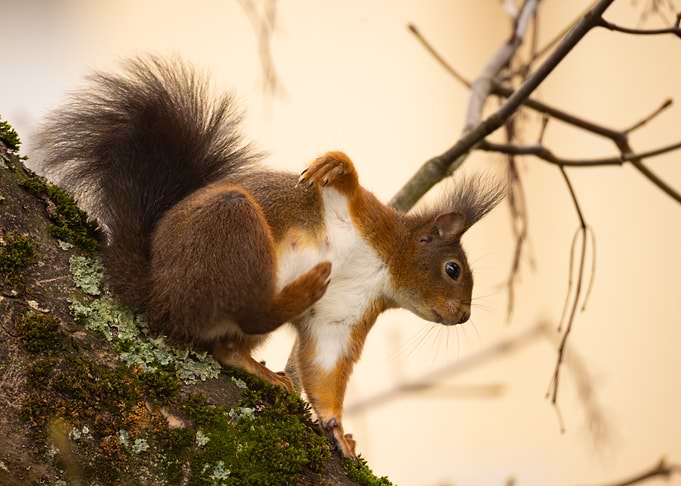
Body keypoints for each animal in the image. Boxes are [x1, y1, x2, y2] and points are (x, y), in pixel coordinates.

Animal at [36, 56, 505, 459]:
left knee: (230, 345)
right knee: (246, 312)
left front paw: (338, 430)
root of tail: (155, 293)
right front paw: (337, 163)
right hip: (230, 224)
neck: (381, 266)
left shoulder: (344, 315)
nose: (463, 316)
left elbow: (324, 369)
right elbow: (347, 185)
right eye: (453, 270)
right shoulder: (366, 216)